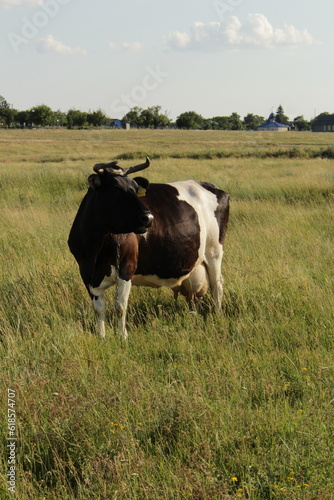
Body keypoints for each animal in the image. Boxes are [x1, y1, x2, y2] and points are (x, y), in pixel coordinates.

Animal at [68, 157, 230, 340]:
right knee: (193, 296)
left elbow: (120, 306)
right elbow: (98, 309)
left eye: (135, 189)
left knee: (217, 287)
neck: (95, 248)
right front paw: (101, 337)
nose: (149, 217)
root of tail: (209, 185)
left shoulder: (126, 268)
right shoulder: (86, 273)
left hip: (214, 251)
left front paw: (123, 337)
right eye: (115, 188)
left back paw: (218, 317)